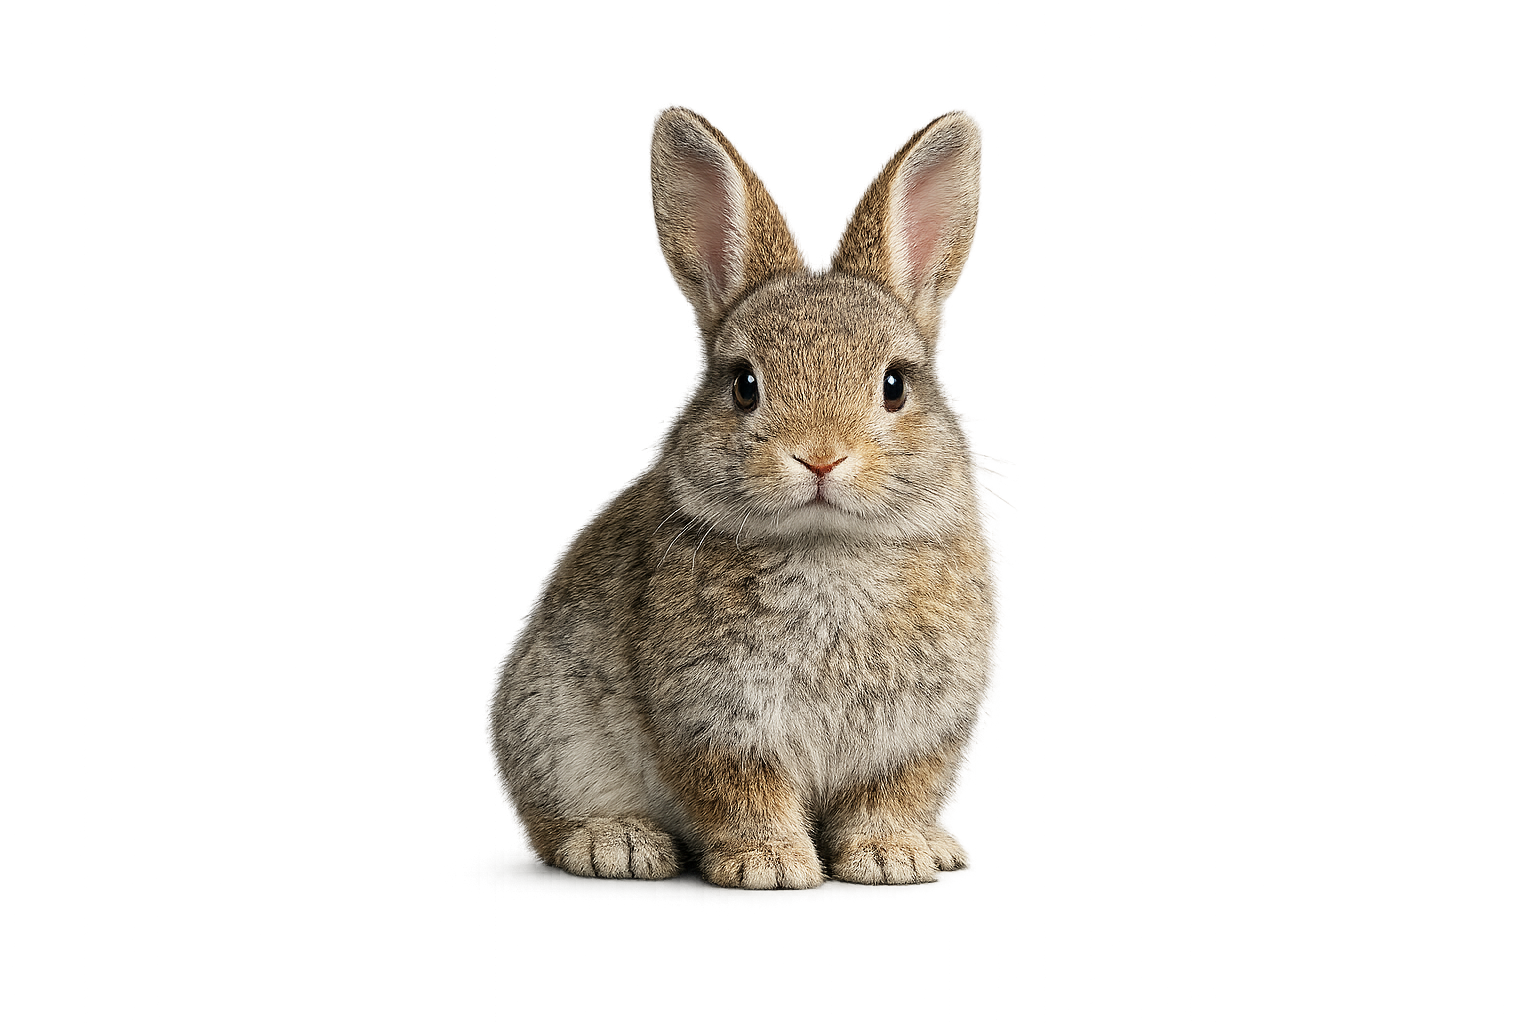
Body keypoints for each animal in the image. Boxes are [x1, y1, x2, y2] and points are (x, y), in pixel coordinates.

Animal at [492, 109, 992, 889]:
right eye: (743, 385)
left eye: (894, 385)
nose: (821, 455)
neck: (827, 548)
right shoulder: (712, 720)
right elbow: (741, 792)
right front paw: (770, 865)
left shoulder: (915, 735)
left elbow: (889, 794)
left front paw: (891, 856)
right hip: (554, 730)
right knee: (550, 826)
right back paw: (618, 844)